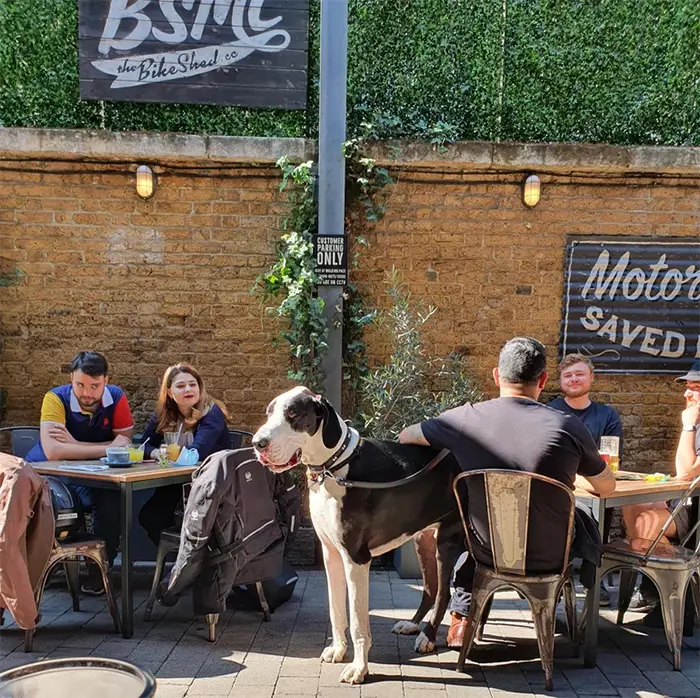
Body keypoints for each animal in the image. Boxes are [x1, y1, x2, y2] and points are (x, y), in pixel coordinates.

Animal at [253, 386, 464, 684]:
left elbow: (357, 621)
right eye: (269, 412)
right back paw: (412, 625)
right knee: (430, 587)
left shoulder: (356, 558)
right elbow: (336, 610)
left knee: (443, 592)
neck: (332, 468)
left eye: (292, 414)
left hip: (447, 541)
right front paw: (338, 650)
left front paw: (359, 668)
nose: (258, 443)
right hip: (423, 539)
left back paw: (428, 637)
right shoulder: (331, 554)